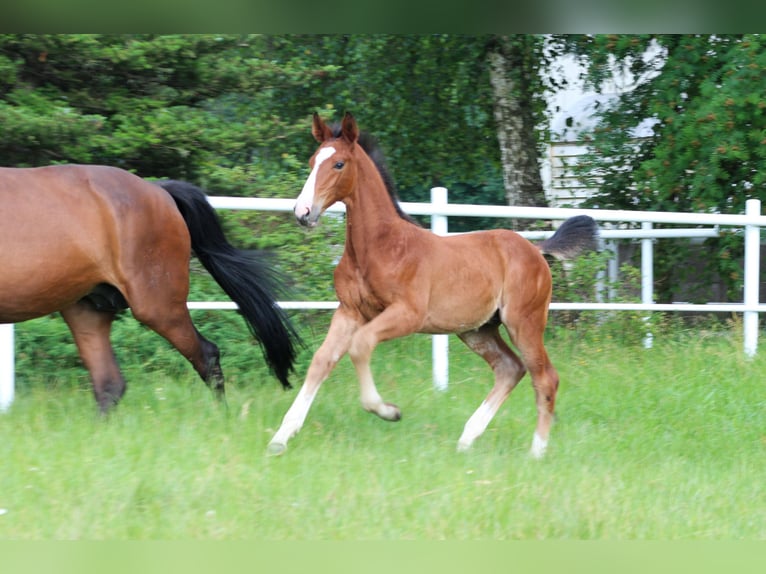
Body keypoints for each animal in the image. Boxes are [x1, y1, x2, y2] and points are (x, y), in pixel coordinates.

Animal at [0, 164, 300, 412]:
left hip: (157, 305)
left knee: (207, 355)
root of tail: (158, 190)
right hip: (88, 310)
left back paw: (222, 417)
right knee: (109, 383)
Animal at [270, 113, 600, 460]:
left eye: (339, 164)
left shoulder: (408, 314)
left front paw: (388, 411)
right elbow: (321, 361)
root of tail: (536, 249)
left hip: (523, 322)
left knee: (545, 377)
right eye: (311, 162)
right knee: (510, 369)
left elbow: (360, 345)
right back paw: (467, 439)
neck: (379, 247)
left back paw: (536, 451)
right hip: (477, 330)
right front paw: (281, 436)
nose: (303, 212)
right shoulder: (349, 311)